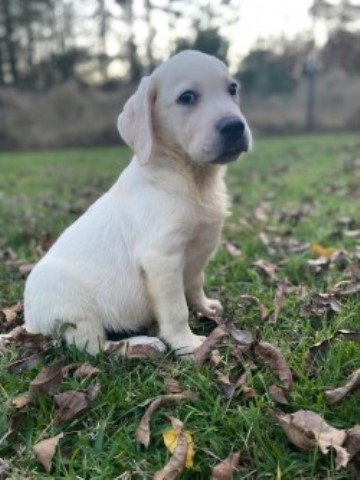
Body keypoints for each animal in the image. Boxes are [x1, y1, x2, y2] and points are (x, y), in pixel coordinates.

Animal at [23, 49, 252, 356]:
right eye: (187, 97)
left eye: (232, 89)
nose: (234, 126)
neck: (192, 179)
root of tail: (30, 323)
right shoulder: (162, 259)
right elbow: (177, 309)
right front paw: (186, 343)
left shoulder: (196, 255)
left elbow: (195, 284)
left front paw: (206, 307)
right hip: (75, 313)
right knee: (96, 348)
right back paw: (141, 344)